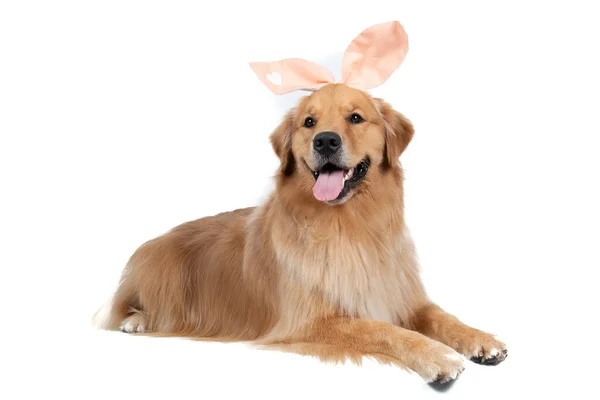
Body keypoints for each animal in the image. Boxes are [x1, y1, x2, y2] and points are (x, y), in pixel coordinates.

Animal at [94, 82, 506, 384]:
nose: (325, 140)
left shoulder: (402, 296)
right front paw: (438, 355)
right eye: (309, 122)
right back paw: (136, 320)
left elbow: (442, 317)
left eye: (356, 118)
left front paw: (481, 339)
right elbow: (384, 331)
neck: (349, 228)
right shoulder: (312, 320)